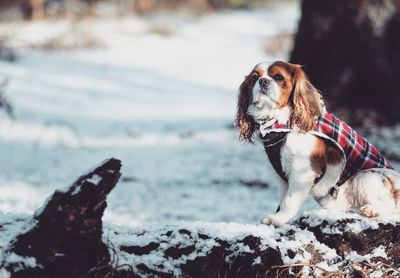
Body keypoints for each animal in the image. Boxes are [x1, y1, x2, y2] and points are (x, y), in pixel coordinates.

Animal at [234, 60, 400, 226]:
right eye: (254, 78)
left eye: (279, 77)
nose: (263, 81)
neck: (281, 124)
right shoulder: (282, 174)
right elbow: (283, 198)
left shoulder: (303, 171)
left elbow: (289, 200)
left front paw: (278, 218)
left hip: (365, 177)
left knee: (389, 206)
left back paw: (371, 210)